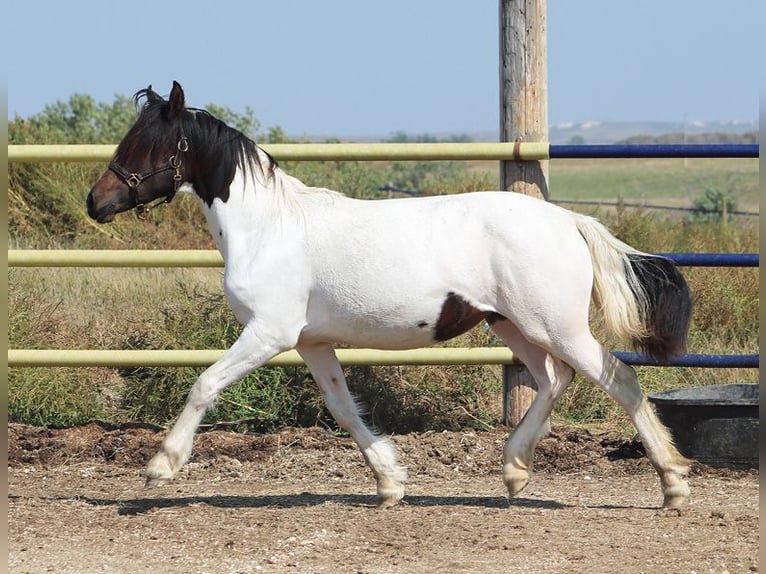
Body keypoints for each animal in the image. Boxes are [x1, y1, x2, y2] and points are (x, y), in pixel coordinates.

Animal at [87, 81, 693, 509]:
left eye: (147, 145)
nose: (96, 202)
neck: (268, 228)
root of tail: (569, 221)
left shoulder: (268, 333)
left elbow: (205, 384)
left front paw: (161, 466)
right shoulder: (310, 342)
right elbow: (342, 407)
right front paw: (390, 482)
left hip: (554, 326)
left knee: (618, 378)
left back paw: (673, 486)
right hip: (513, 325)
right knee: (553, 379)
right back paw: (515, 470)